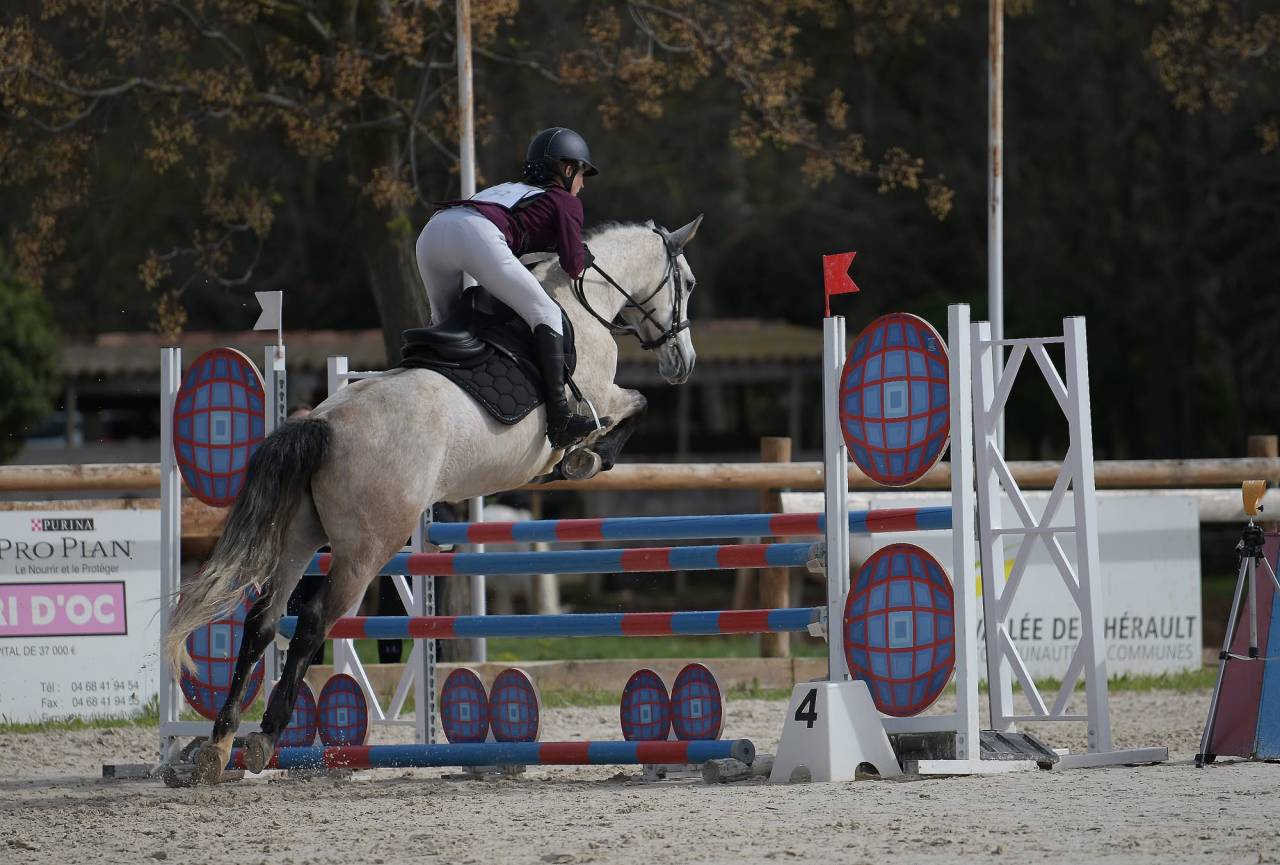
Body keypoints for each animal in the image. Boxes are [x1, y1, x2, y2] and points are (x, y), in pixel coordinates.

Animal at [164, 216, 702, 784]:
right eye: (687, 283)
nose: (682, 363)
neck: (583, 297)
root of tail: (322, 424)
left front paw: (586, 458)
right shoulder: (602, 395)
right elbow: (637, 405)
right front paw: (586, 459)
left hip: (301, 537)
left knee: (262, 621)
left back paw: (218, 747)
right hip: (367, 548)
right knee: (311, 621)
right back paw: (265, 736)